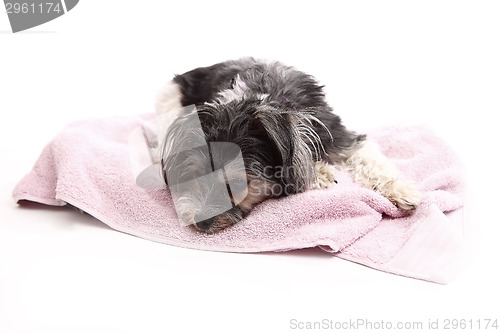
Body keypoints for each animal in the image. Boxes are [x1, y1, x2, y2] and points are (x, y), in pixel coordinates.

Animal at [154, 57, 420, 233]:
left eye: (239, 184)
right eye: (195, 175)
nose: (201, 221)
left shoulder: (340, 137)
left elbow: (371, 158)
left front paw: (402, 191)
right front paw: (319, 172)